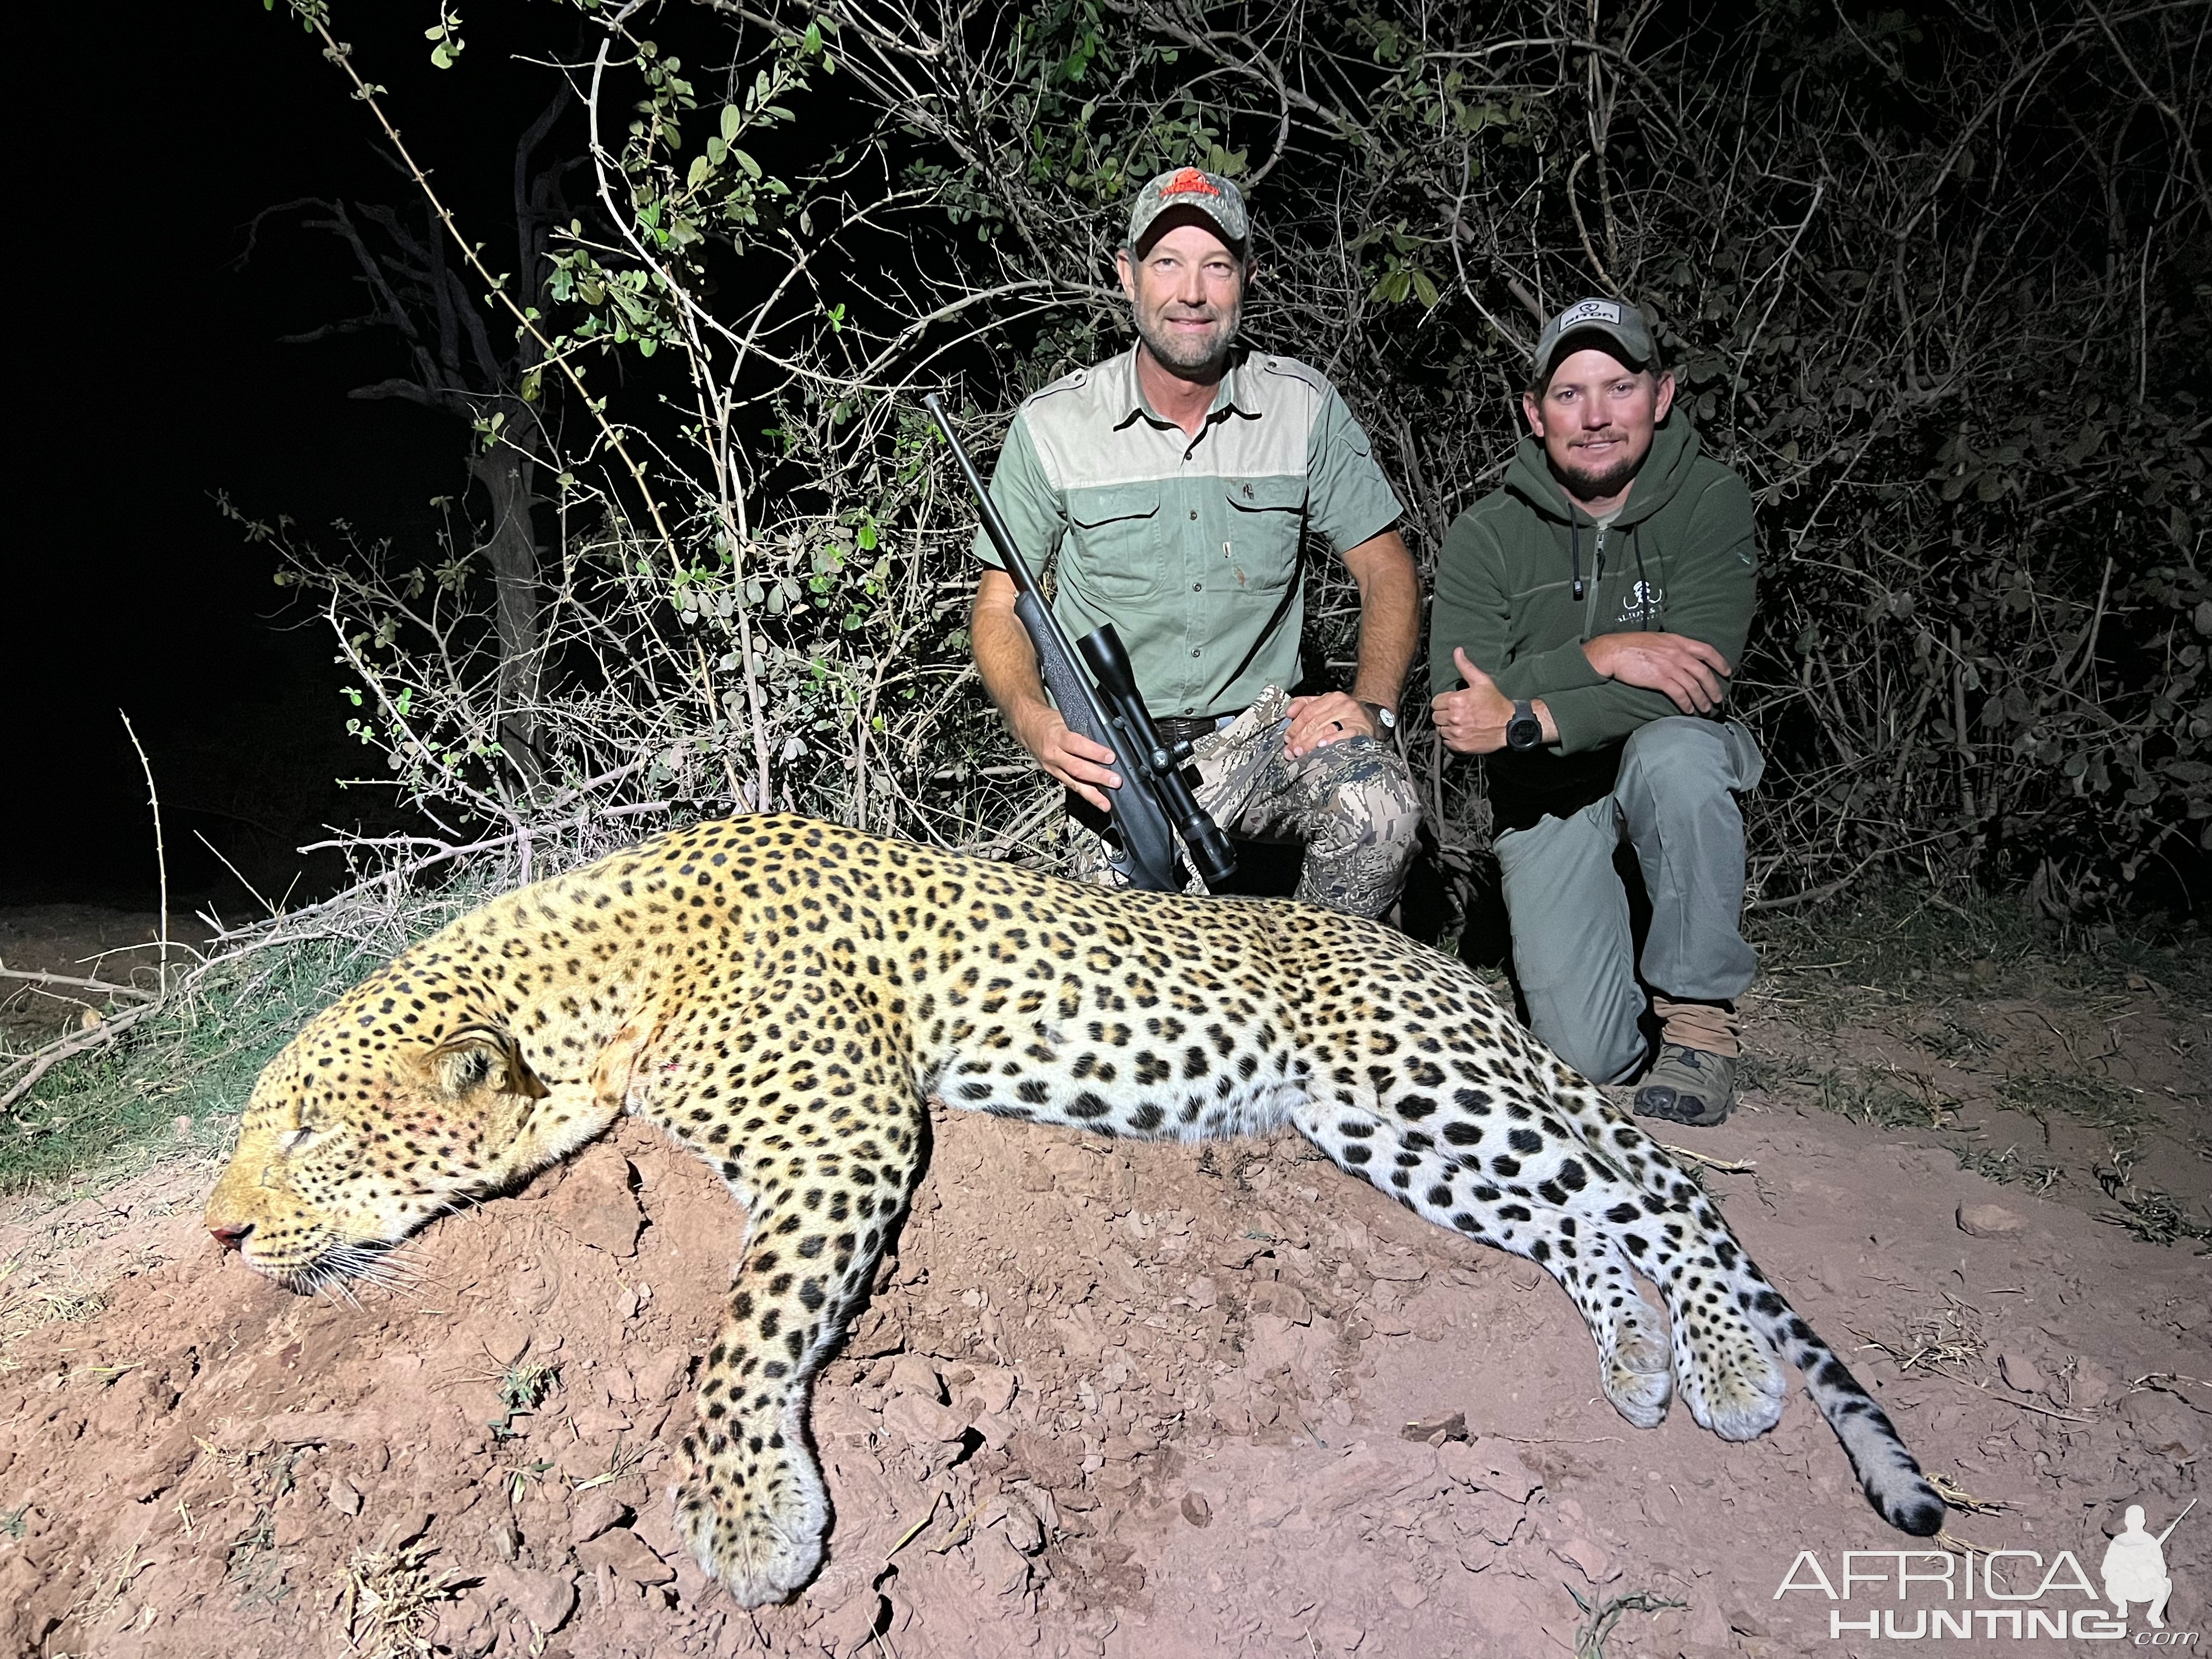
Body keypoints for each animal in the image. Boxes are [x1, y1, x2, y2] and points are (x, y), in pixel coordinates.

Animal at [203, 818, 1938, 1610]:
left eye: (302, 1133)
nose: (213, 1237)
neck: (592, 984)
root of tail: (1444, 966)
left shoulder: (842, 1129)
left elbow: (738, 1340)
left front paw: (754, 1519)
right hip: (1391, 1133)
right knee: (1590, 1221)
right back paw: (1644, 1367)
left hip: (1426, 1080)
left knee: (1661, 1201)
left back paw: (1728, 1373)